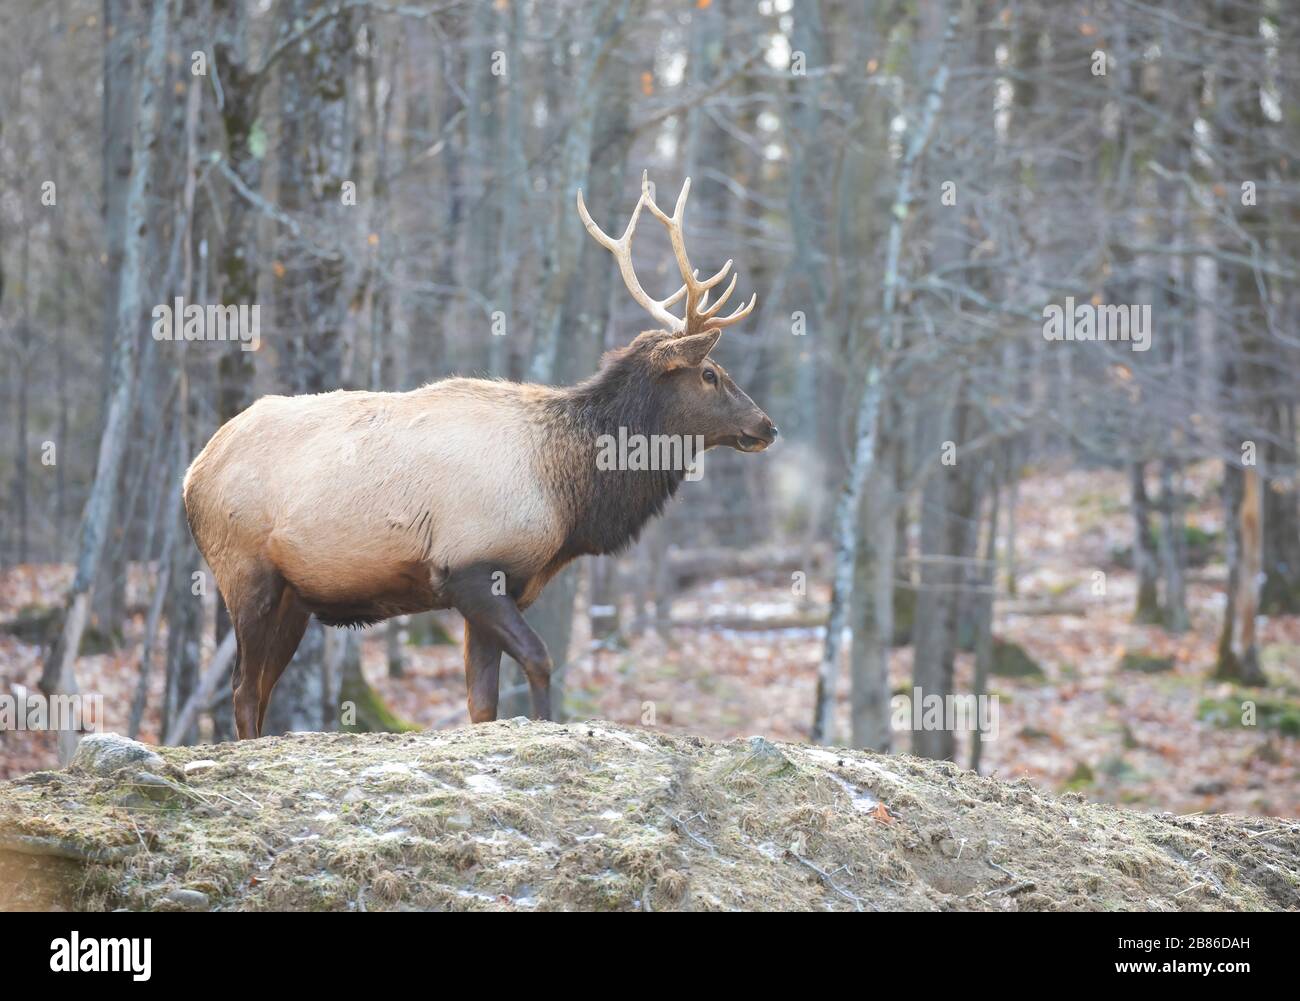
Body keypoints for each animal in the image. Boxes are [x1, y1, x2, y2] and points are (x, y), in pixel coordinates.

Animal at [180, 169, 769, 733]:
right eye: (711, 374)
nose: (766, 425)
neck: (568, 495)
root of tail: (191, 475)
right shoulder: (471, 567)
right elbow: (540, 660)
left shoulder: (493, 584)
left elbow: (481, 704)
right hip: (245, 573)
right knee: (242, 689)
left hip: (293, 598)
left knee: (260, 689)